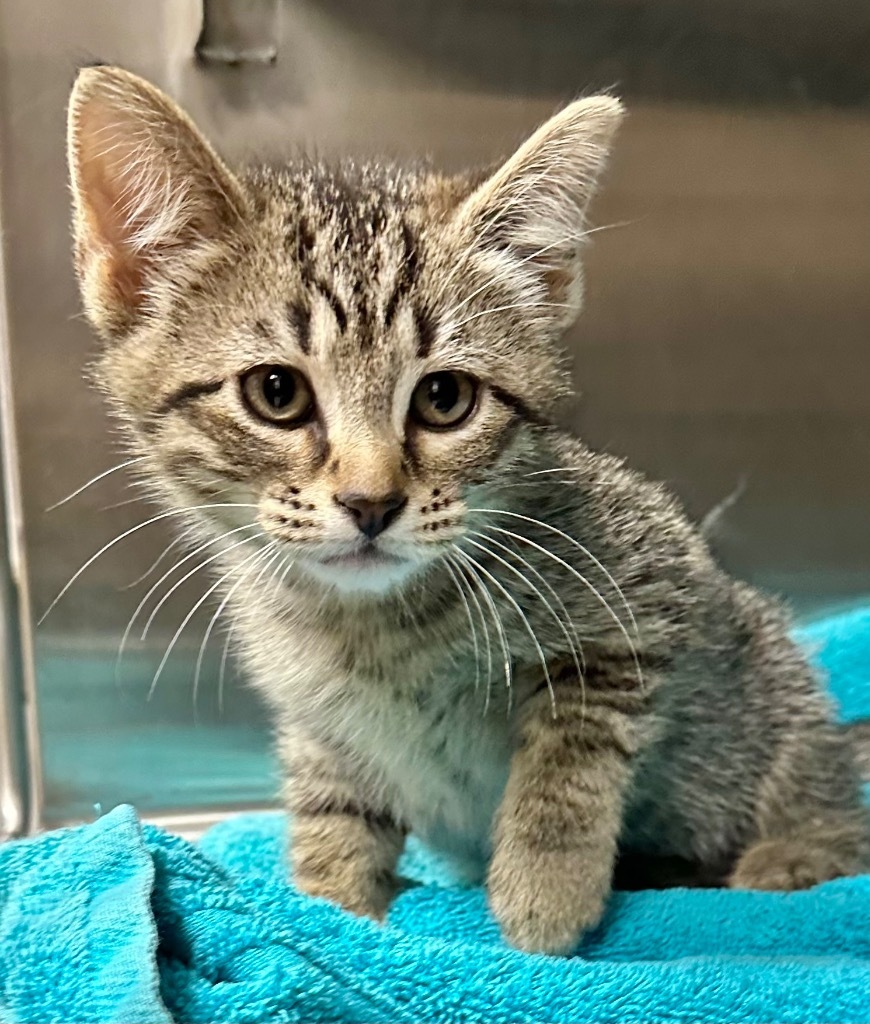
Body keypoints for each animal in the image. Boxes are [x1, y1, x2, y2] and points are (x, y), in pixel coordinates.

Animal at [64, 68, 863, 954]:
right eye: (276, 392)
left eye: (445, 398)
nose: (370, 501)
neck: (371, 628)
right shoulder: (318, 722)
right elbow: (331, 810)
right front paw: (331, 912)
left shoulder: (649, 591)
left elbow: (573, 745)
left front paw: (544, 892)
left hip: (772, 690)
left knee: (822, 779)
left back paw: (794, 852)